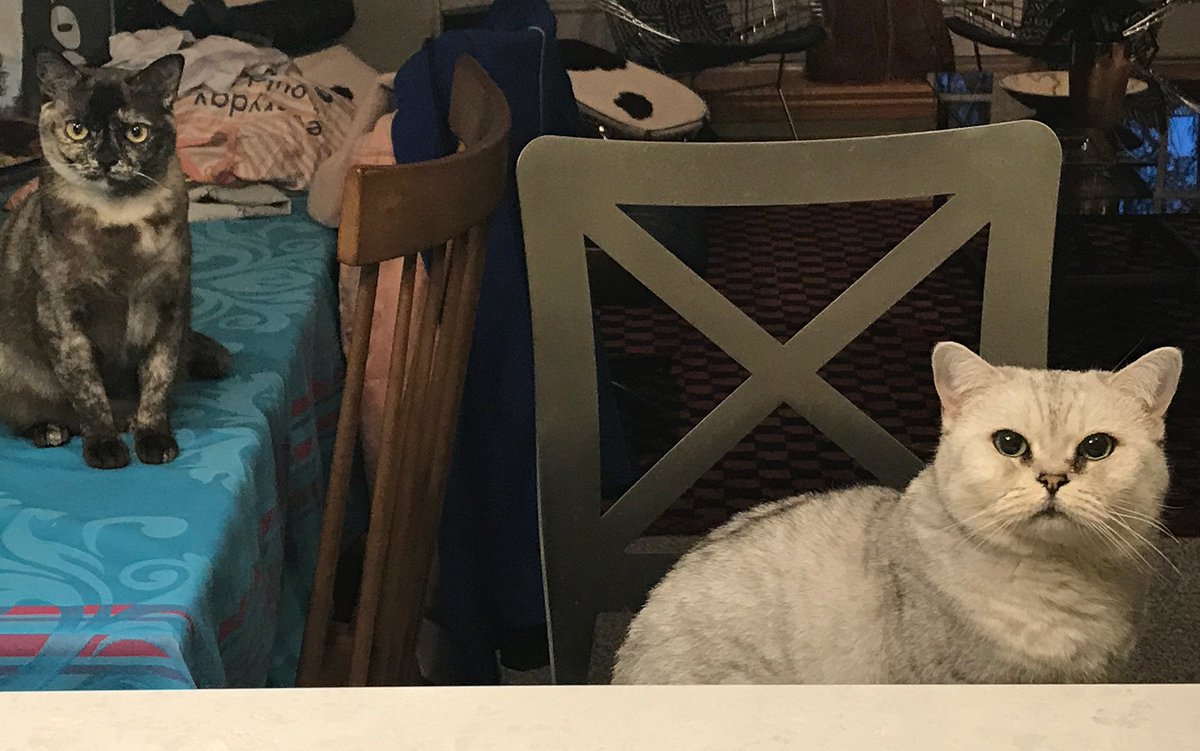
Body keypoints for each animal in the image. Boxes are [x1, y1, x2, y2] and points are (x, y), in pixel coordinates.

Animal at [0, 49, 231, 470]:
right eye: (76, 129)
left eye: (135, 132)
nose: (106, 158)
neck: (118, 222)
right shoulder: (64, 318)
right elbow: (89, 393)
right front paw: (105, 447)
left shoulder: (169, 307)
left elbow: (156, 382)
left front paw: (154, 439)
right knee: (30, 412)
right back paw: (50, 430)